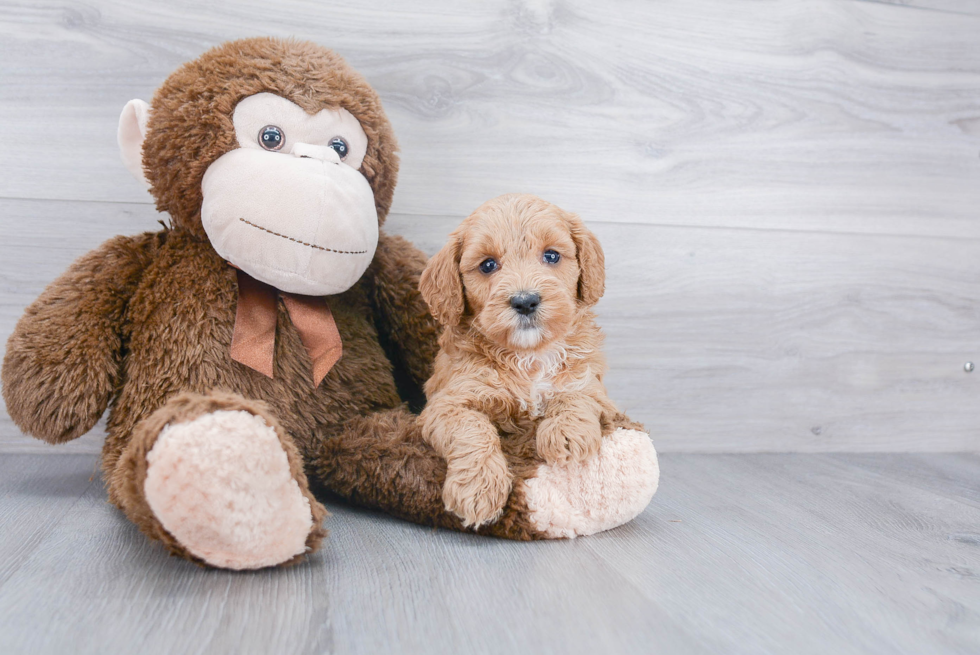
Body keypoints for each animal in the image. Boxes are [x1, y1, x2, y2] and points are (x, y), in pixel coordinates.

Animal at [420, 191, 620, 528]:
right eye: (488, 265)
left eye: (551, 256)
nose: (525, 301)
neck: (530, 356)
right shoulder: (446, 403)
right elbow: (473, 428)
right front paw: (478, 489)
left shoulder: (595, 388)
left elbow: (575, 395)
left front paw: (565, 434)